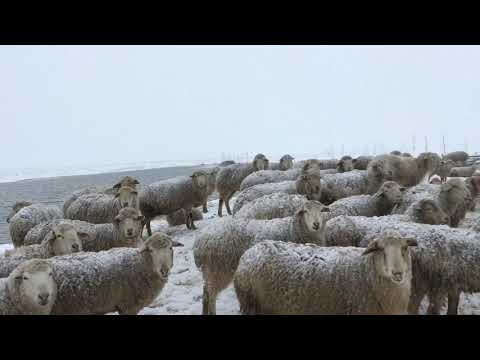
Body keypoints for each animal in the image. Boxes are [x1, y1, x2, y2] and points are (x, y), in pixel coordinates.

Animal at [193, 200, 332, 316]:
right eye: (305, 211)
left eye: (321, 210)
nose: (316, 224)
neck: (293, 229)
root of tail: (200, 242)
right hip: (218, 269)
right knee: (211, 294)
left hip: (210, 270)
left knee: (206, 292)